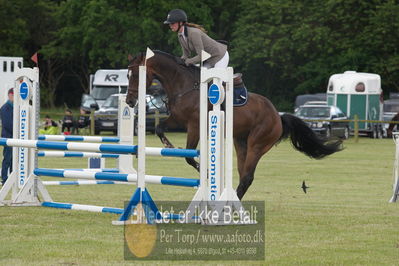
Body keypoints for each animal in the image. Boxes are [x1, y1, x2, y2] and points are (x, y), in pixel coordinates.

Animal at [127, 50, 344, 200]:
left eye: (136, 75)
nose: (129, 101)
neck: (184, 85)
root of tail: (278, 116)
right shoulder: (177, 119)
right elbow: (159, 129)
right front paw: (169, 146)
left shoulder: (194, 126)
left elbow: (189, 155)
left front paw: (204, 171)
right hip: (240, 142)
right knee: (242, 174)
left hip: (258, 143)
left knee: (247, 176)